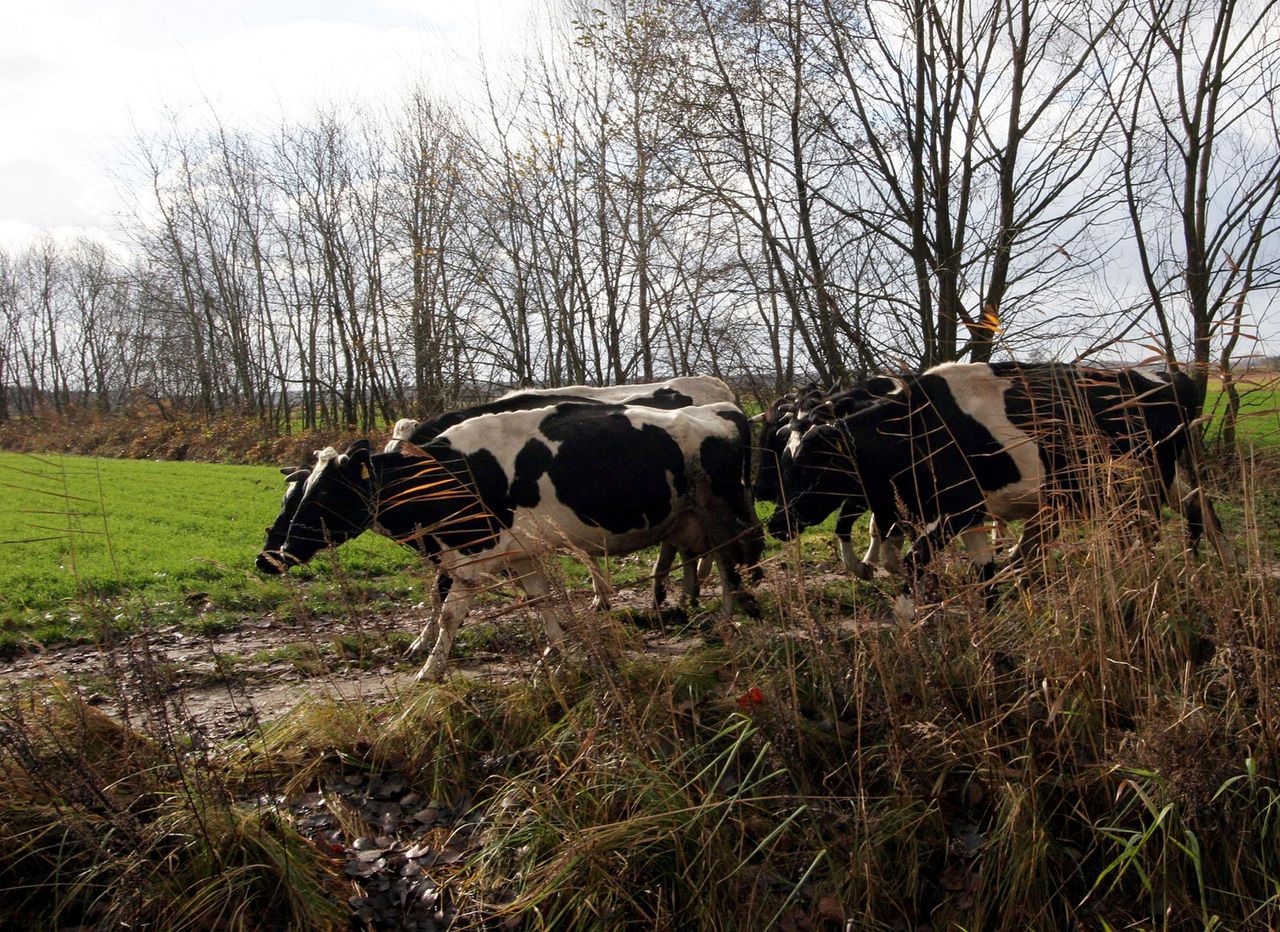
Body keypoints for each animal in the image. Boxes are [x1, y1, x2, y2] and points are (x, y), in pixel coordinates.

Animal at [261, 399, 757, 675]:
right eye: (299, 492)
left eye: (326, 494)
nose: (277, 553)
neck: (447, 475)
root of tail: (719, 411)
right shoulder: (519, 552)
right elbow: (541, 600)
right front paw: (558, 650)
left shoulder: (471, 553)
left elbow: (449, 614)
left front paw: (430, 669)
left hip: (719, 511)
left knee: (730, 565)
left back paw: (726, 621)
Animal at [762, 358, 1233, 611]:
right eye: (783, 455)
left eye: (812, 466)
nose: (775, 525)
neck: (919, 428)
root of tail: (1165, 375)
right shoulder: (958, 513)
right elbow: (981, 571)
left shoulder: (957, 510)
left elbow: (909, 556)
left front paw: (907, 619)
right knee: (1193, 504)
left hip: (1140, 482)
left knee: (1149, 529)